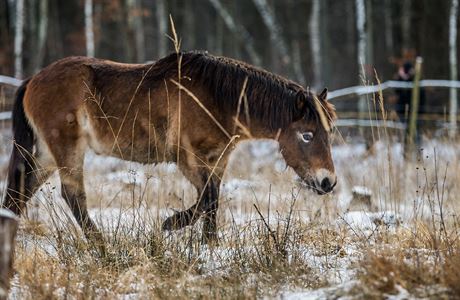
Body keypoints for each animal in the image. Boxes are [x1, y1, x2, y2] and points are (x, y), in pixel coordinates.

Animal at [0, 50, 338, 250]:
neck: (217, 98)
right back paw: (101, 246)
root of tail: (32, 80)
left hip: (45, 155)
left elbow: (212, 201)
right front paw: (171, 224)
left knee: (19, 194)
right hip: (66, 149)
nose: (328, 182)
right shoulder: (188, 158)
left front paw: (209, 246)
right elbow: (208, 199)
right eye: (307, 135)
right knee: (73, 196)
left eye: (329, 133)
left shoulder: (217, 160)